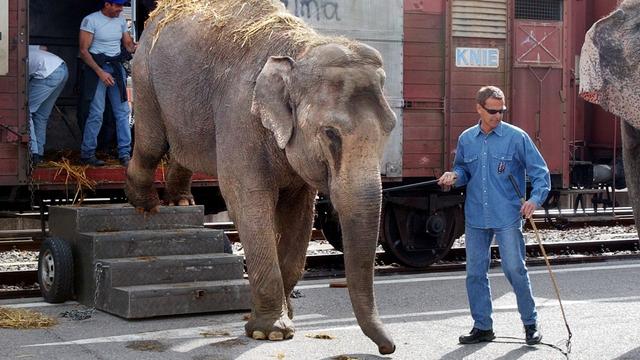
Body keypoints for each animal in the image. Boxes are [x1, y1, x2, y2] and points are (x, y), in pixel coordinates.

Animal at [124, 0, 396, 354]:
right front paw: (271, 333)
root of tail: (160, 12)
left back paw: (179, 201)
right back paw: (145, 204)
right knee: (152, 141)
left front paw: (285, 317)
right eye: (330, 134)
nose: (388, 348)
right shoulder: (241, 117)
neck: (300, 51)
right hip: (144, 75)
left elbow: (299, 214)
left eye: (390, 127)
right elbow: (249, 201)